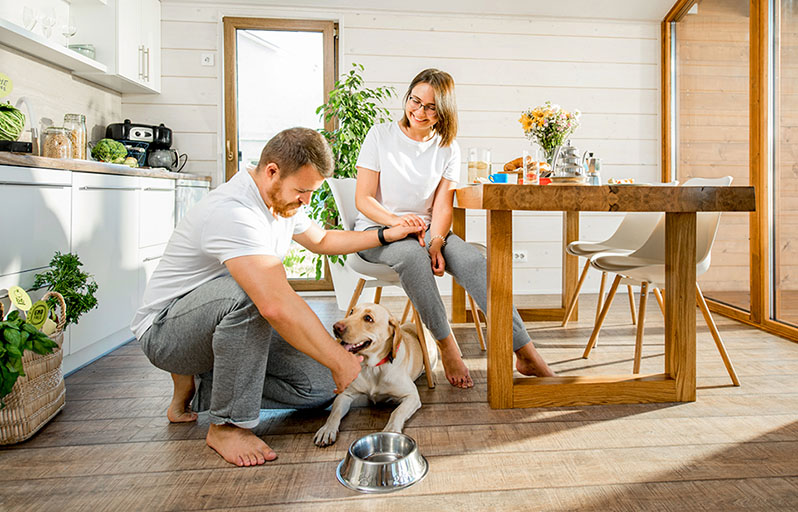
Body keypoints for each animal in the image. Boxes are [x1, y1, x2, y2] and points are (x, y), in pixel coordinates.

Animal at [314, 302, 440, 446]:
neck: (373, 367)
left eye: (368, 318)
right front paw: (327, 429)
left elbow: (397, 412)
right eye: (351, 311)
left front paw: (391, 429)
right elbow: (334, 413)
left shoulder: (412, 396)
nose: (336, 326)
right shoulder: (345, 395)